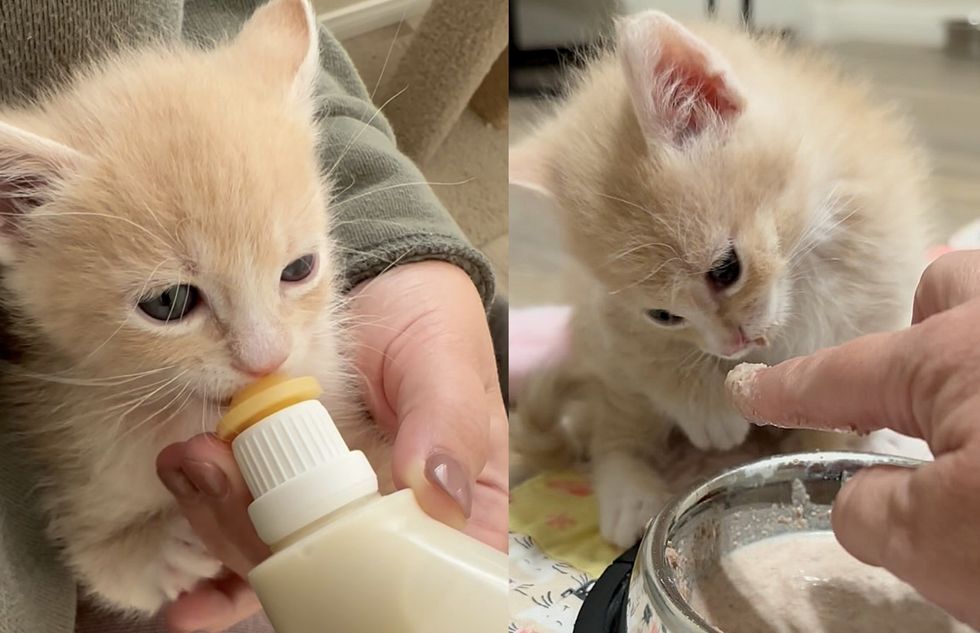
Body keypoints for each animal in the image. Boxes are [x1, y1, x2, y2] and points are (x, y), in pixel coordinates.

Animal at [0, 0, 392, 616]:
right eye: (170, 302)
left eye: (299, 269)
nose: (266, 360)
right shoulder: (72, 450)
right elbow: (99, 559)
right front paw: (167, 547)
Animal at [512, 12, 936, 548]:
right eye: (663, 315)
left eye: (726, 270)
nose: (731, 344)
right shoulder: (607, 314)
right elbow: (650, 357)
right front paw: (707, 409)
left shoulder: (878, 281)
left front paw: (827, 461)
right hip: (604, 370)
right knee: (611, 431)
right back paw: (629, 492)